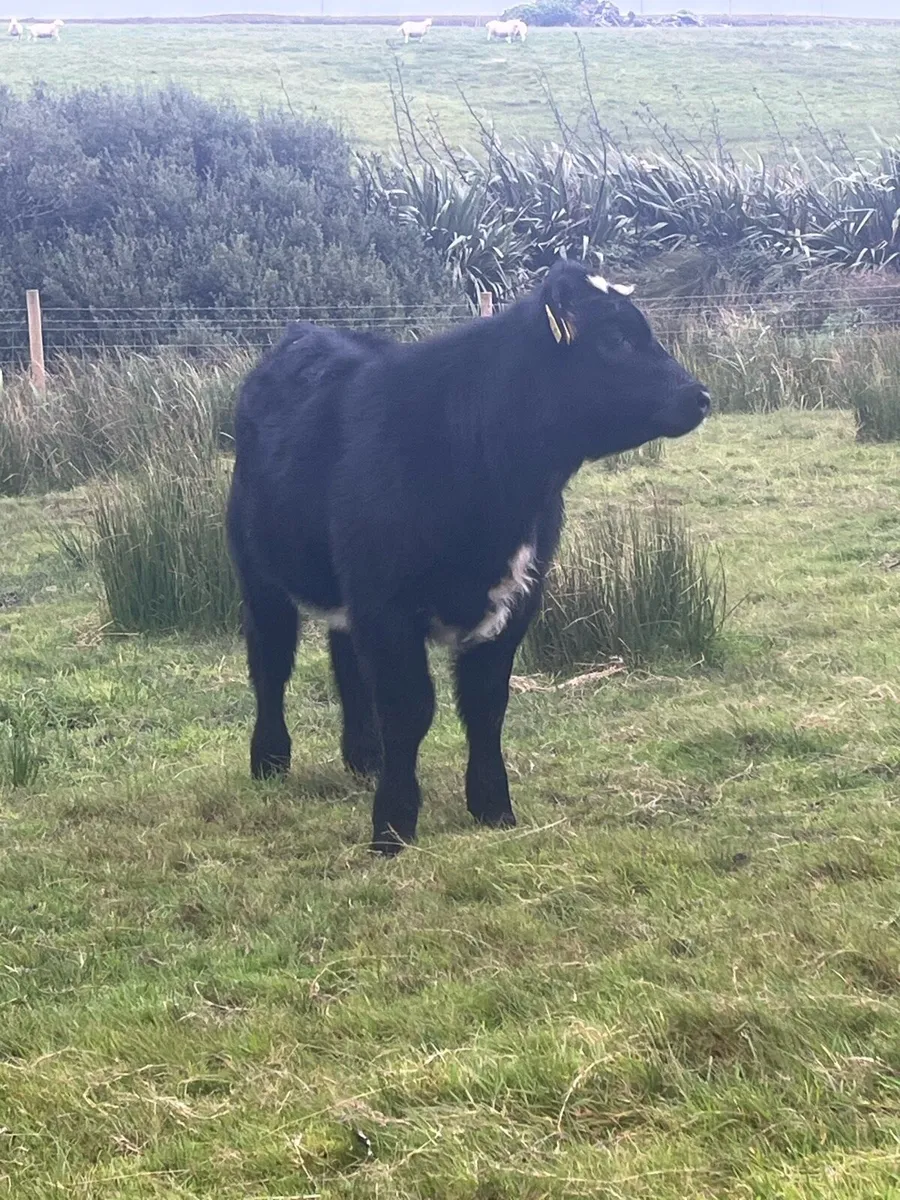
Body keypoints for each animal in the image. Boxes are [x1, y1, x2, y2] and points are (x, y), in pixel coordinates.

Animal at [227, 261, 711, 854]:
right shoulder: (387, 605)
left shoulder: (517, 600)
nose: (700, 395)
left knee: (344, 659)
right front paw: (392, 827)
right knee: (270, 661)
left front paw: (492, 807)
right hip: (260, 575)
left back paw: (365, 757)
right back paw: (270, 759)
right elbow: (409, 708)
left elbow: (485, 706)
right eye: (616, 338)